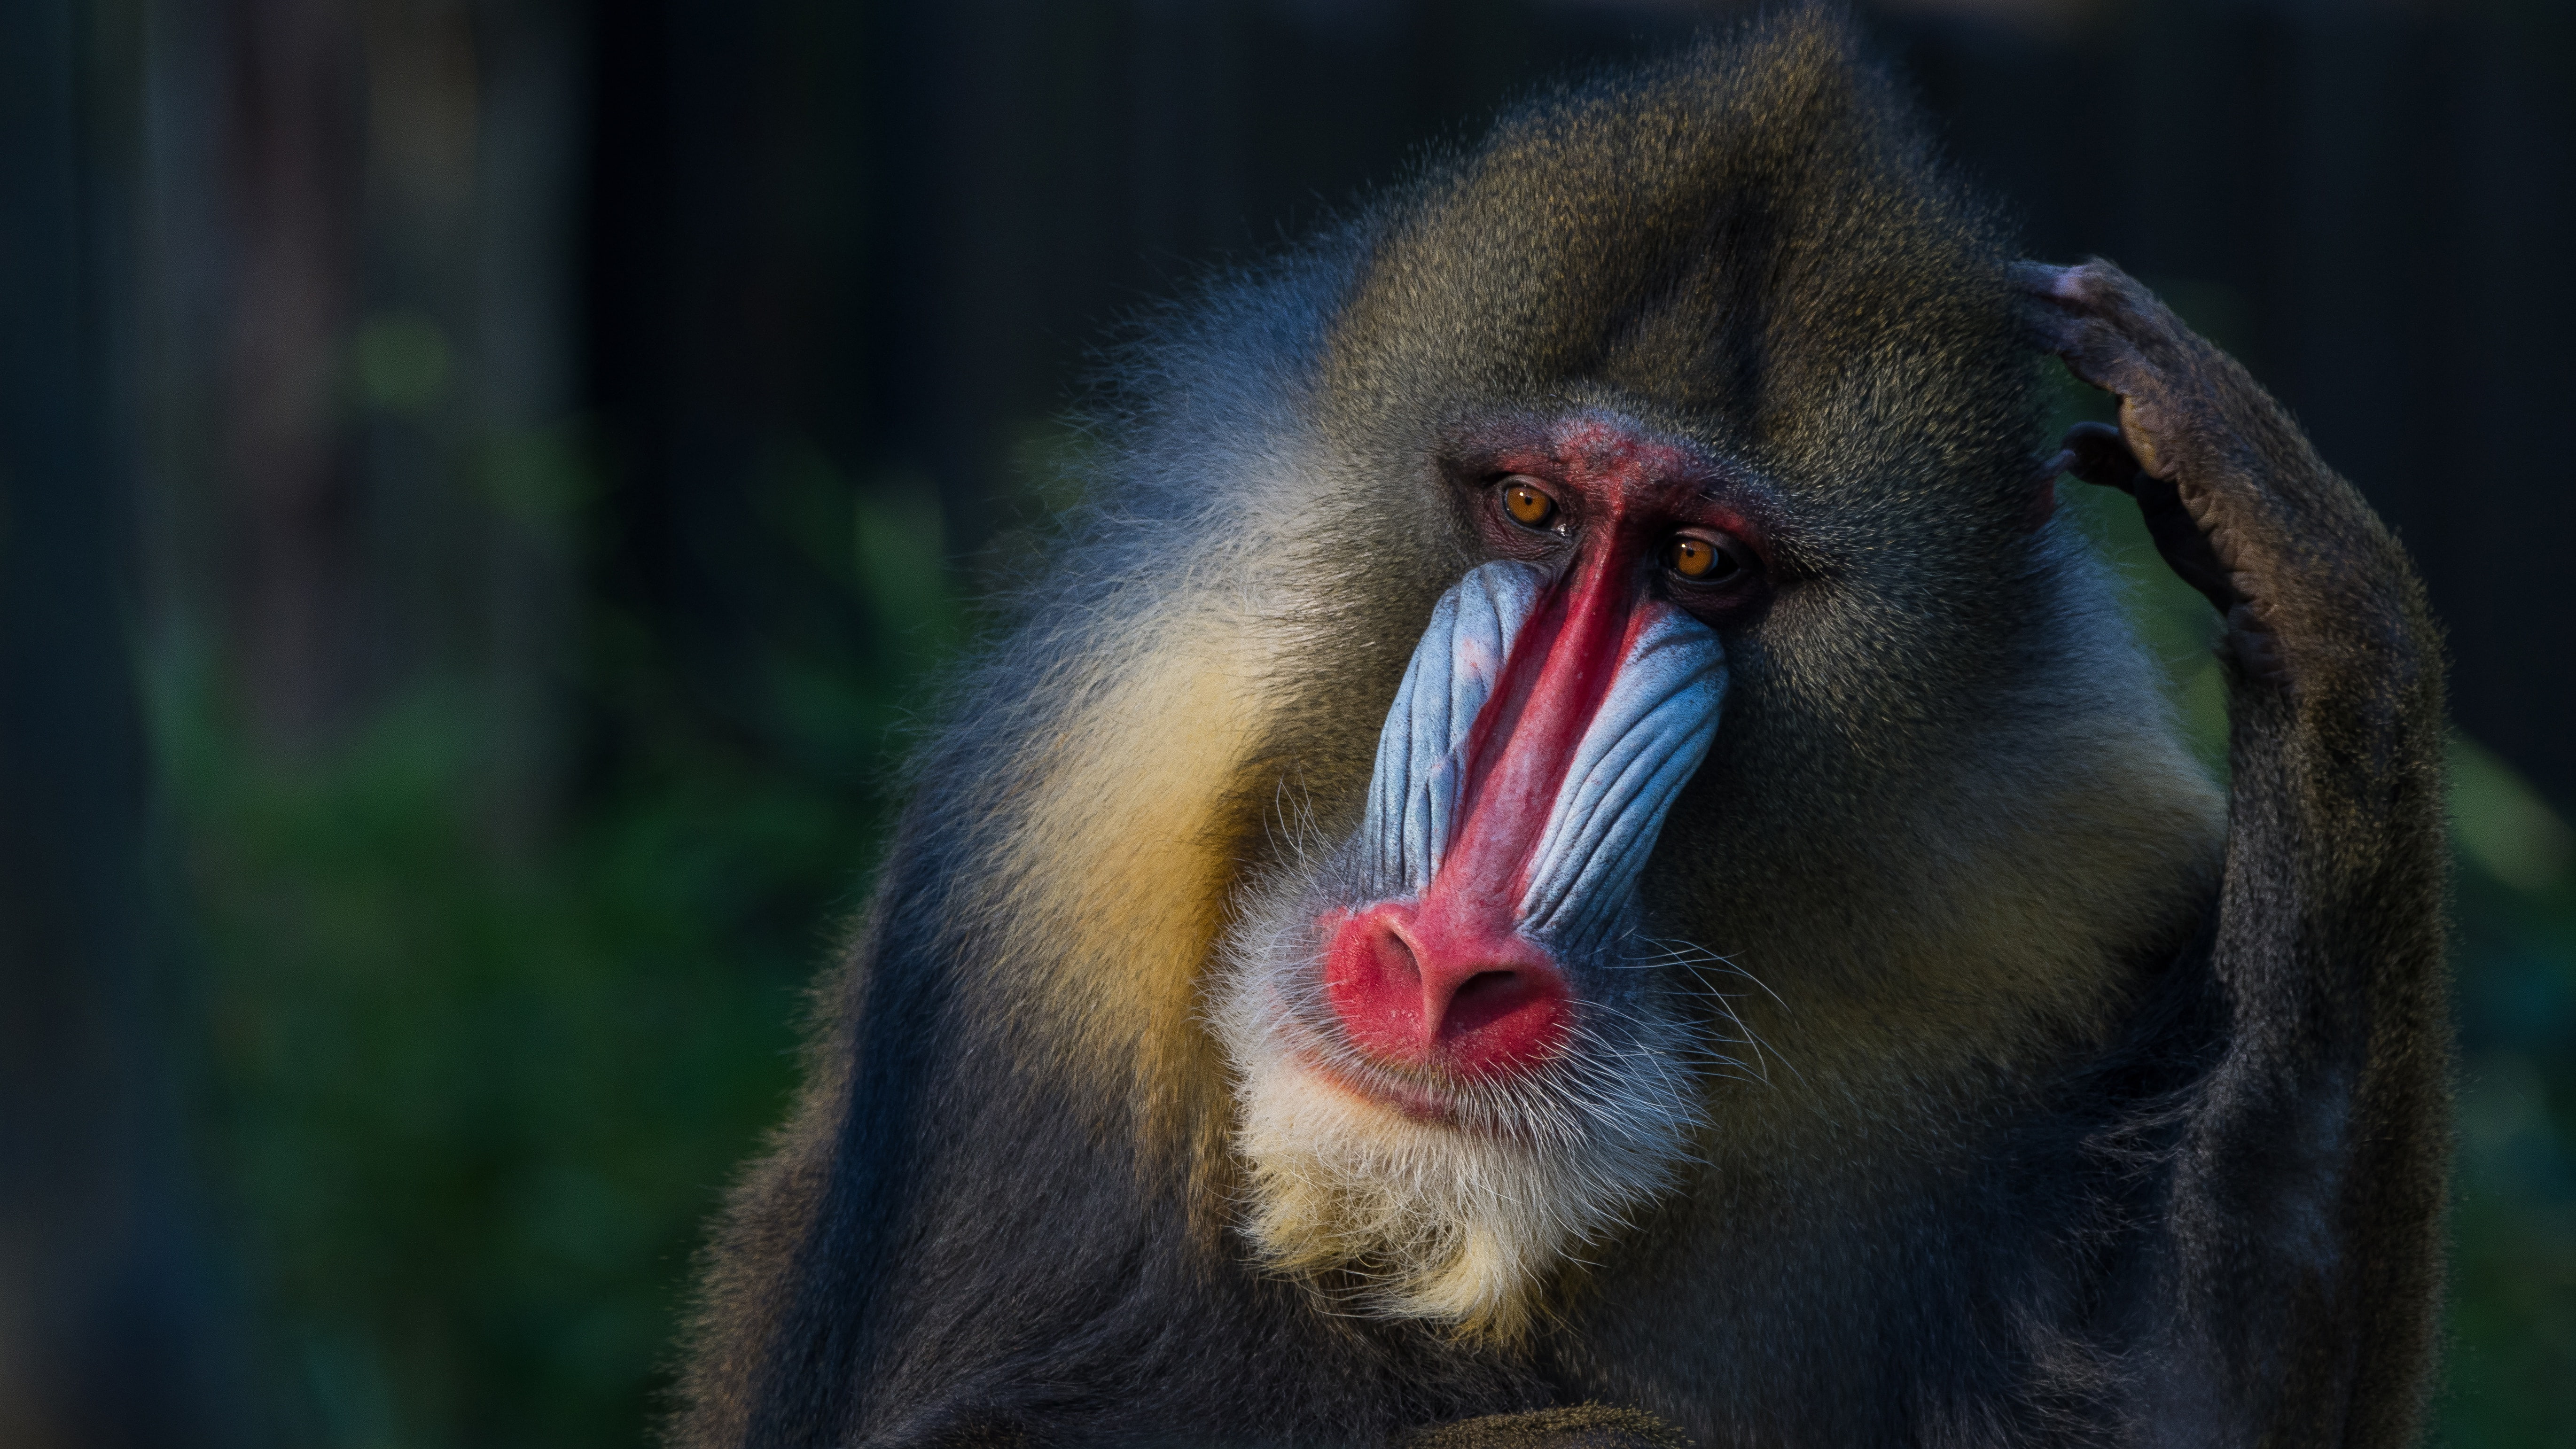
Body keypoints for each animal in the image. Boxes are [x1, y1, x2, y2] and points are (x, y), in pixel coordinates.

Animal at [669, 9, 2450, 1447]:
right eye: (1529, 507)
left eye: (1701, 562)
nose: (1446, 967)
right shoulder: (1075, 853)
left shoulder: (2073, 874)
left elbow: (2178, 1397)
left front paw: (2296, 568)